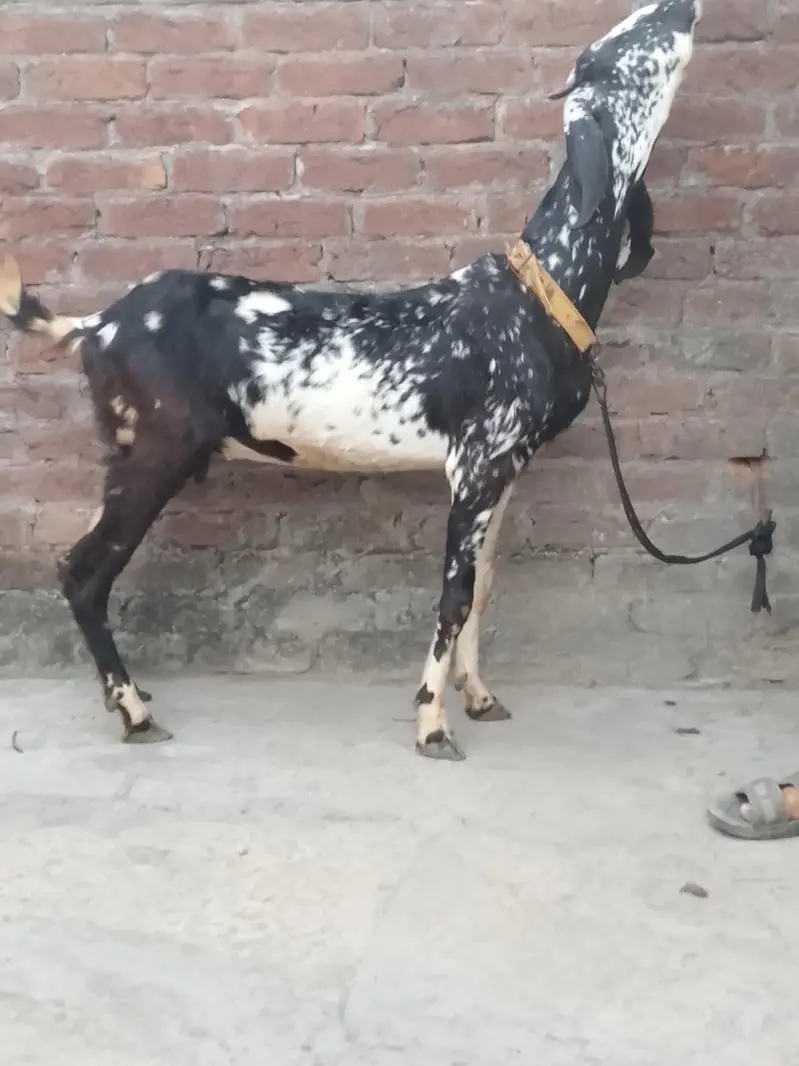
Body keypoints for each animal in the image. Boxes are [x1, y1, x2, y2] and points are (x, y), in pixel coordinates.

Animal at [0, 0, 700, 759]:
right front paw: (432, 723)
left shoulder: (506, 470)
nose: (679, 7)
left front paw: (480, 697)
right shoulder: (475, 466)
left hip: (131, 453)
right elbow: (453, 596)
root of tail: (96, 324)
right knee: (84, 574)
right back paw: (133, 710)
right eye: (624, 50)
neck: (540, 292)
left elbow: (483, 587)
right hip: (155, 451)